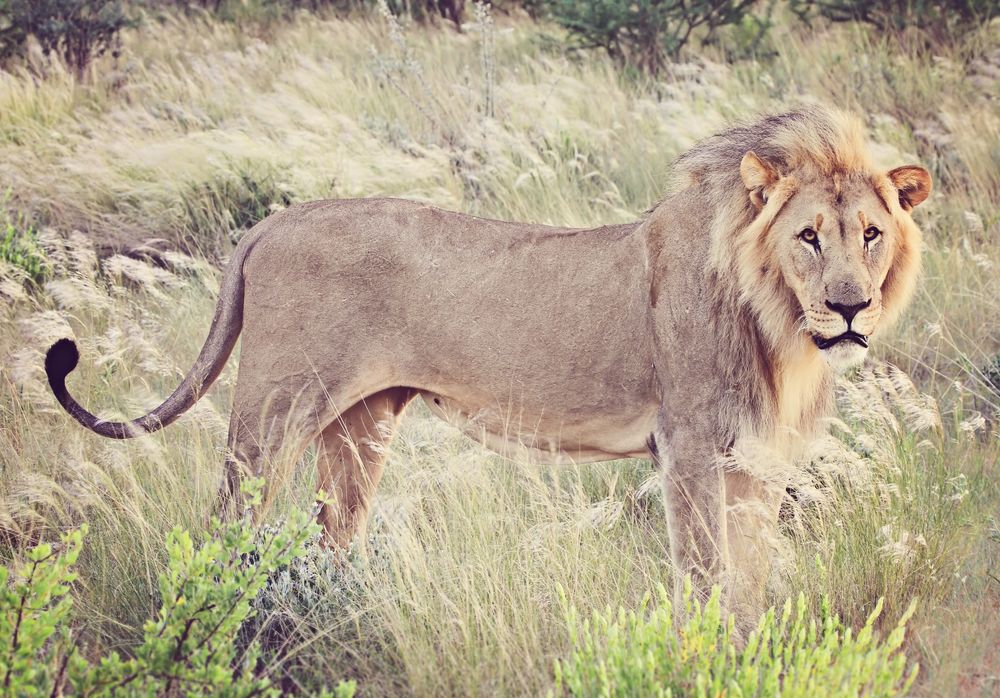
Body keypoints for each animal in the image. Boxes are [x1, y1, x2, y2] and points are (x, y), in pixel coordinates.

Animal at [41, 106, 928, 612]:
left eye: (871, 234)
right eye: (808, 236)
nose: (852, 307)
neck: (778, 326)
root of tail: (275, 220)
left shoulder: (755, 461)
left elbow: (752, 578)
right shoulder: (689, 446)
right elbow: (706, 575)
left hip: (360, 429)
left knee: (331, 543)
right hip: (271, 416)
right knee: (223, 534)